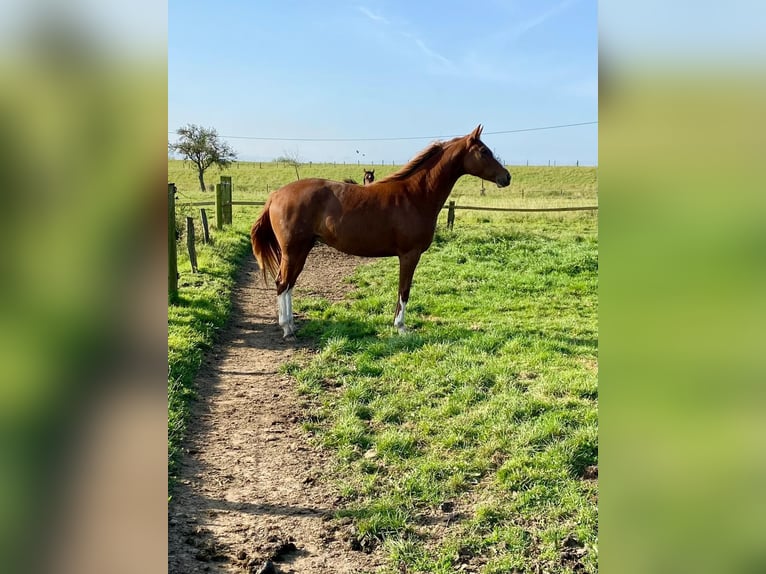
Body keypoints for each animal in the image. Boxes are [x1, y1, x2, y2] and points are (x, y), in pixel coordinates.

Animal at [252, 125, 512, 340]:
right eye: (484, 151)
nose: (506, 177)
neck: (415, 195)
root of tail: (276, 195)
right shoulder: (409, 255)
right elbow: (404, 290)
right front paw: (401, 327)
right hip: (293, 250)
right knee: (282, 283)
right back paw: (286, 328)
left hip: (302, 249)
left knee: (289, 283)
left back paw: (291, 325)